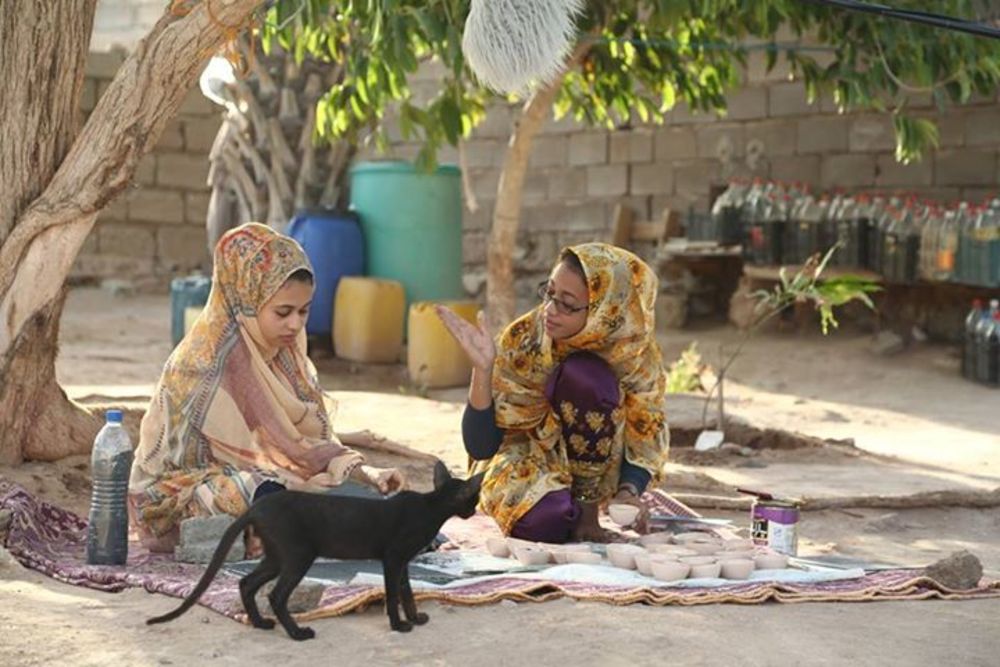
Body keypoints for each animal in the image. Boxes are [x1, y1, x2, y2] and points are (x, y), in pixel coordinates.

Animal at [147, 462, 484, 640]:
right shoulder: (393, 558)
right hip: (298, 556)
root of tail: (257, 506)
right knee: (275, 595)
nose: (474, 511)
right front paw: (400, 625)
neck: (431, 507)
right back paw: (297, 633)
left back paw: (260, 623)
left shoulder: (402, 563)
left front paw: (415, 618)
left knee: (246, 583)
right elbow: (393, 595)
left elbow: (407, 591)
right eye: (474, 499)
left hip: (277, 556)